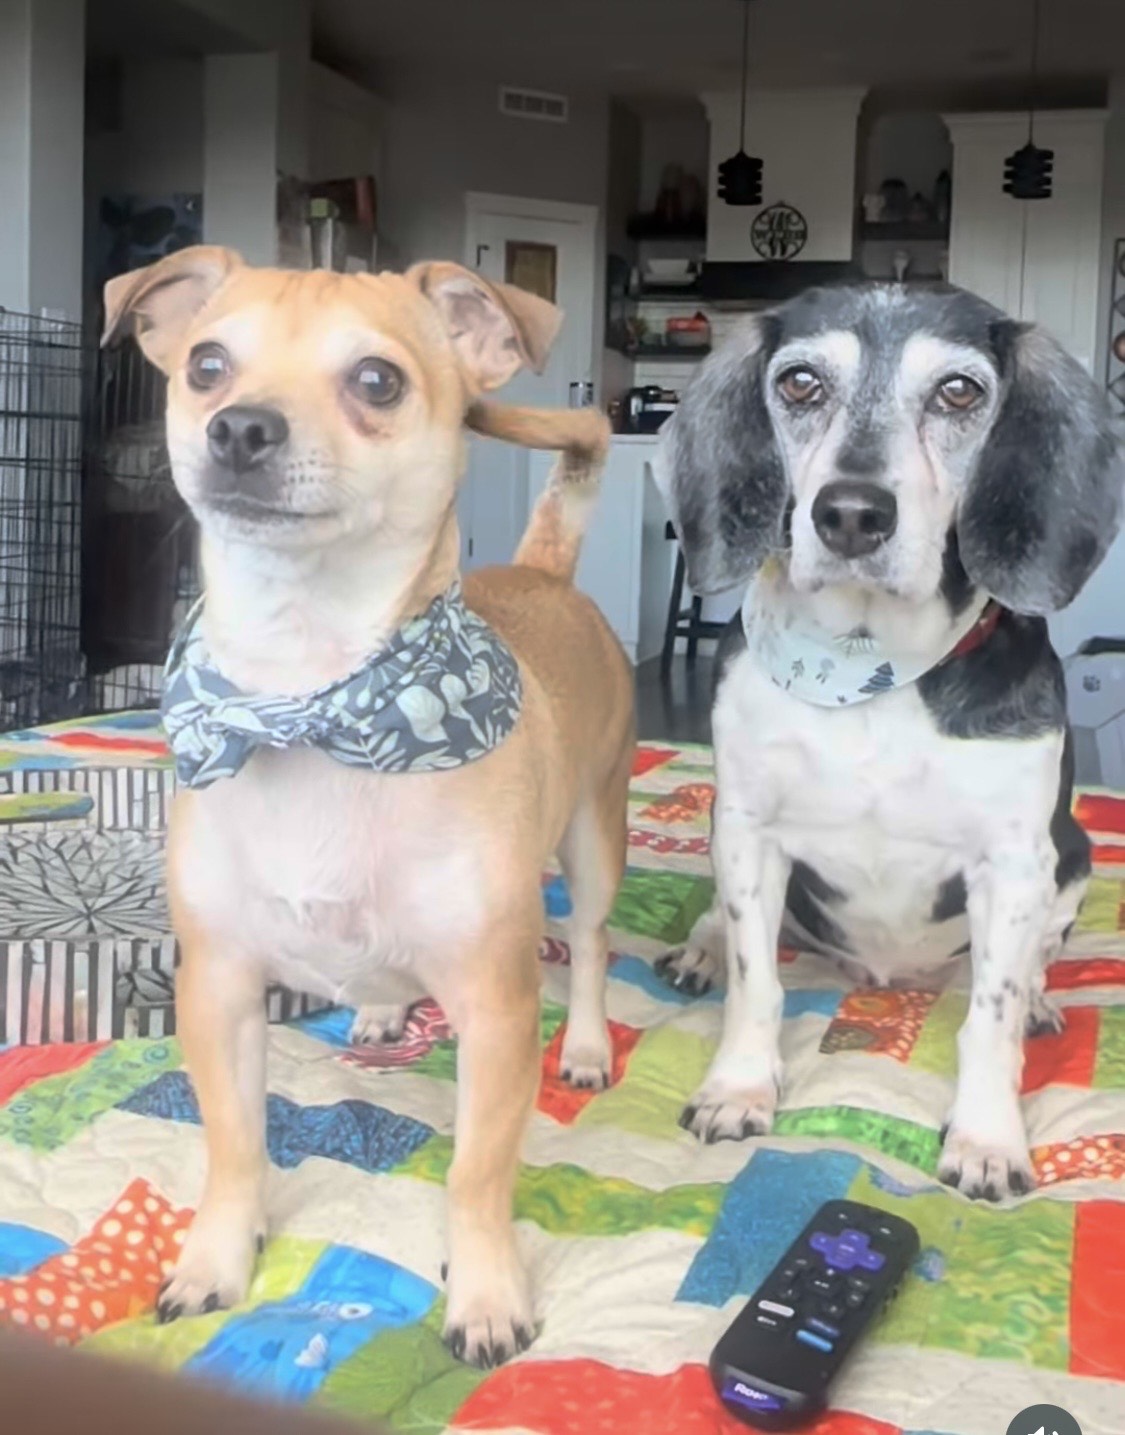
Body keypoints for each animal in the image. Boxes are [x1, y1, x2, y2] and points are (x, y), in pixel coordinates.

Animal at [101, 247, 634, 1366]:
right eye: (206, 365)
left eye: (378, 381)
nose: (240, 427)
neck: (310, 695)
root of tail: (543, 570)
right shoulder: (219, 988)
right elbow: (234, 1144)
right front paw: (217, 1259)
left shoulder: (495, 1011)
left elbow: (478, 1172)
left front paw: (485, 1293)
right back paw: (385, 1009)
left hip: (594, 843)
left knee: (594, 946)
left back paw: (588, 1046)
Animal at [653, 282, 1123, 1202]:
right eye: (799, 382)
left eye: (959, 392)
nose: (849, 513)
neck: (865, 665)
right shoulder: (748, 830)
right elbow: (755, 985)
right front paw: (737, 1088)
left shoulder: (1012, 863)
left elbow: (988, 1019)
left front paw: (986, 1137)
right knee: (727, 929)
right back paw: (699, 951)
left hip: (1072, 856)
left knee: (1028, 966)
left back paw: (1040, 1000)